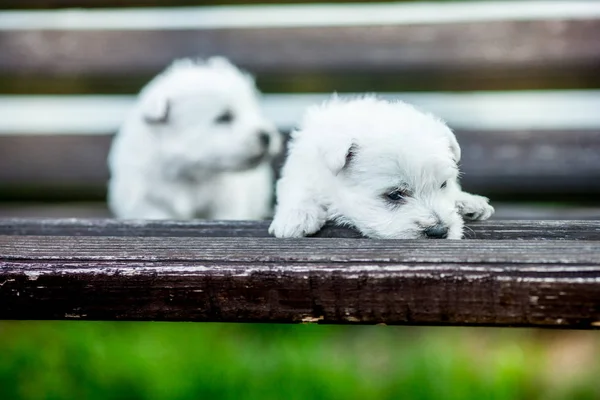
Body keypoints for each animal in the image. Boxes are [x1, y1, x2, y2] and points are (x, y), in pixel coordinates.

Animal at [108, 56, 282, 220]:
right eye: (224, 117)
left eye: (253, 110)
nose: (266, 136)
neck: (188, 172)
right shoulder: (147, 203)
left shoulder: (225, 203)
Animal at [270, 96, 494, 241]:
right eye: (394, 195)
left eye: (443, 185)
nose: (439, 231)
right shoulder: (303, 168)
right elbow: (299, 189)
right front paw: (296, 217)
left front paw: (464, 200)